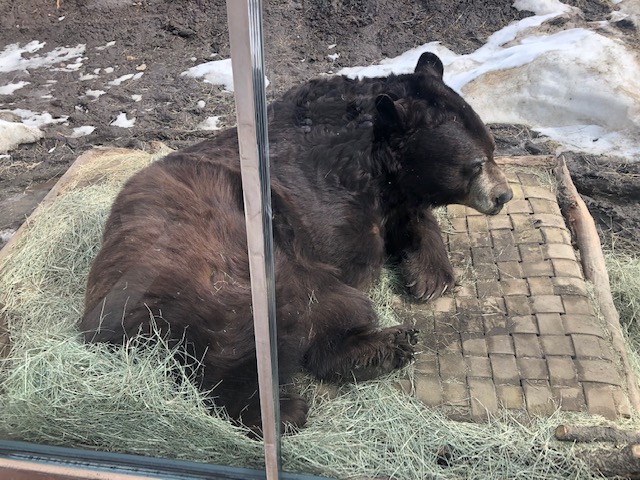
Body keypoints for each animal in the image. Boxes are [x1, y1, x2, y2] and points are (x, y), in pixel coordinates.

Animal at [80, 52, 512, 434]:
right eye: (475, 163)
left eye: (493, 148)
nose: (503, 196)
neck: (371, 160)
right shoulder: (329, 202)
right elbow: (358, 247)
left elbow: (409, 219)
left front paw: (430, 277)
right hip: (224, 260)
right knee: (291, 315)